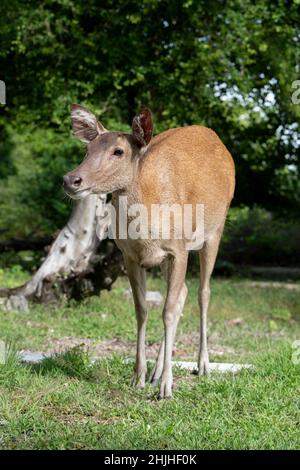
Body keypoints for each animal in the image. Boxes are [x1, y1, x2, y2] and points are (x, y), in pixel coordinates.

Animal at [63, 104, 236, 398]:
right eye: (88, 150)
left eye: (118, 151)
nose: (71, 179)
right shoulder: (130, 256)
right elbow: (142, 309)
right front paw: (139, 377)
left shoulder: (179, 250)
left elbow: (168, 310)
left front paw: (167, 387)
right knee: (183, 293)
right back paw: (156, 371)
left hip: (215, 230)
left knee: (203, 293)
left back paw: (202, 365)